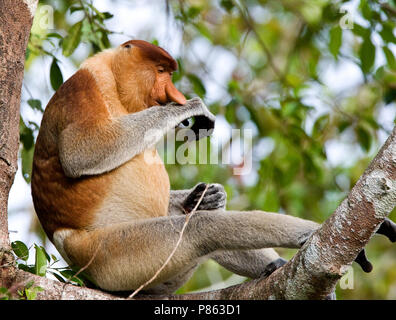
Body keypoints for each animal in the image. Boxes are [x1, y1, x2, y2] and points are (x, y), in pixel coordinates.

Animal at [31, 39, 396, 296]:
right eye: (161, 71)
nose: (171, 91)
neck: (115, 84)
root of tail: (74, 252)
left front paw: (205, 195)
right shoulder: (86, 86)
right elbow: (82, 152)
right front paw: (189, 108)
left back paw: (271, 263)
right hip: (114, 257)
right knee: (203, 230)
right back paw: (311, 235)